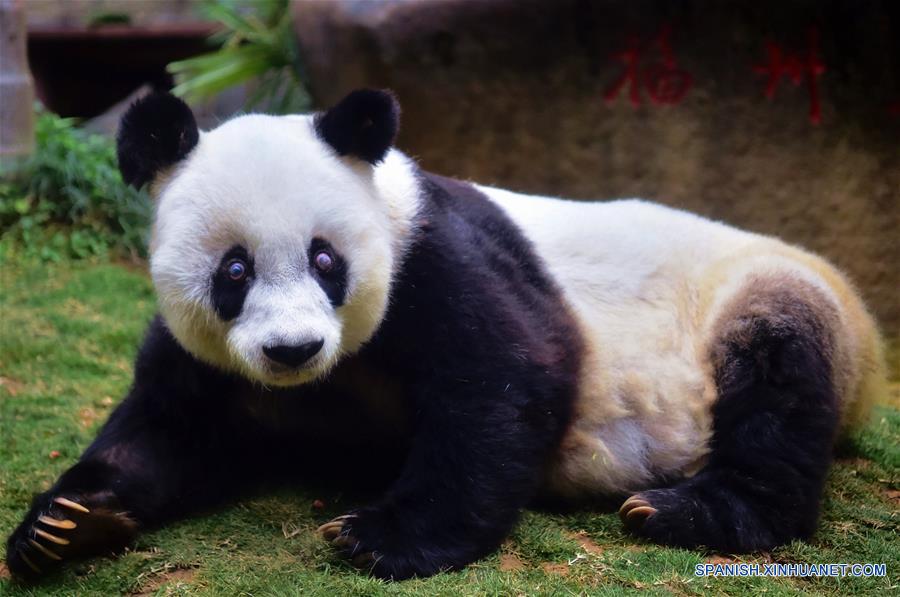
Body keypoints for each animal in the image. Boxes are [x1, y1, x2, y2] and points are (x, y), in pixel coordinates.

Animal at [5, 91, 884, 580]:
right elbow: (167, 428)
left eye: (325, 258)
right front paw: (65, 523)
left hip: (760, 299)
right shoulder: (212, 362)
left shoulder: (437, 258)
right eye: (234, 270)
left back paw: (683, 509)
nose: (291, 350)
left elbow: (505, 378)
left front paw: (378, 537)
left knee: (778, 379)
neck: (323, 381)